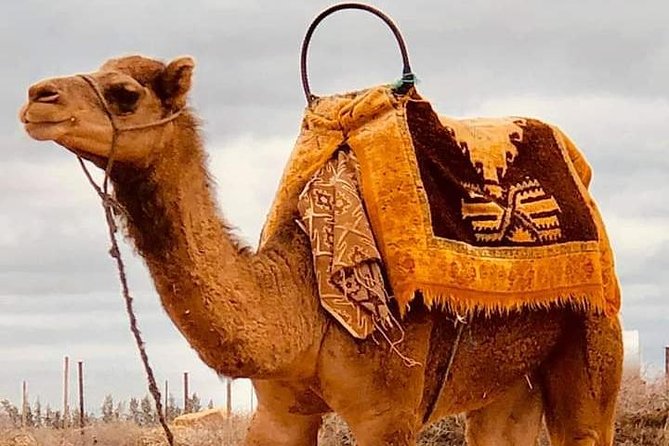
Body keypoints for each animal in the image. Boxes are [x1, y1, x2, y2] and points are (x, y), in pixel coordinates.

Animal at [19, 55, 623, 446]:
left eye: (125, 93)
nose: (35, 98)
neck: (303, 296)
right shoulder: (277, 412)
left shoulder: (388, 415)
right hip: (507, 378)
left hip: (595, 333)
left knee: (586, 424)